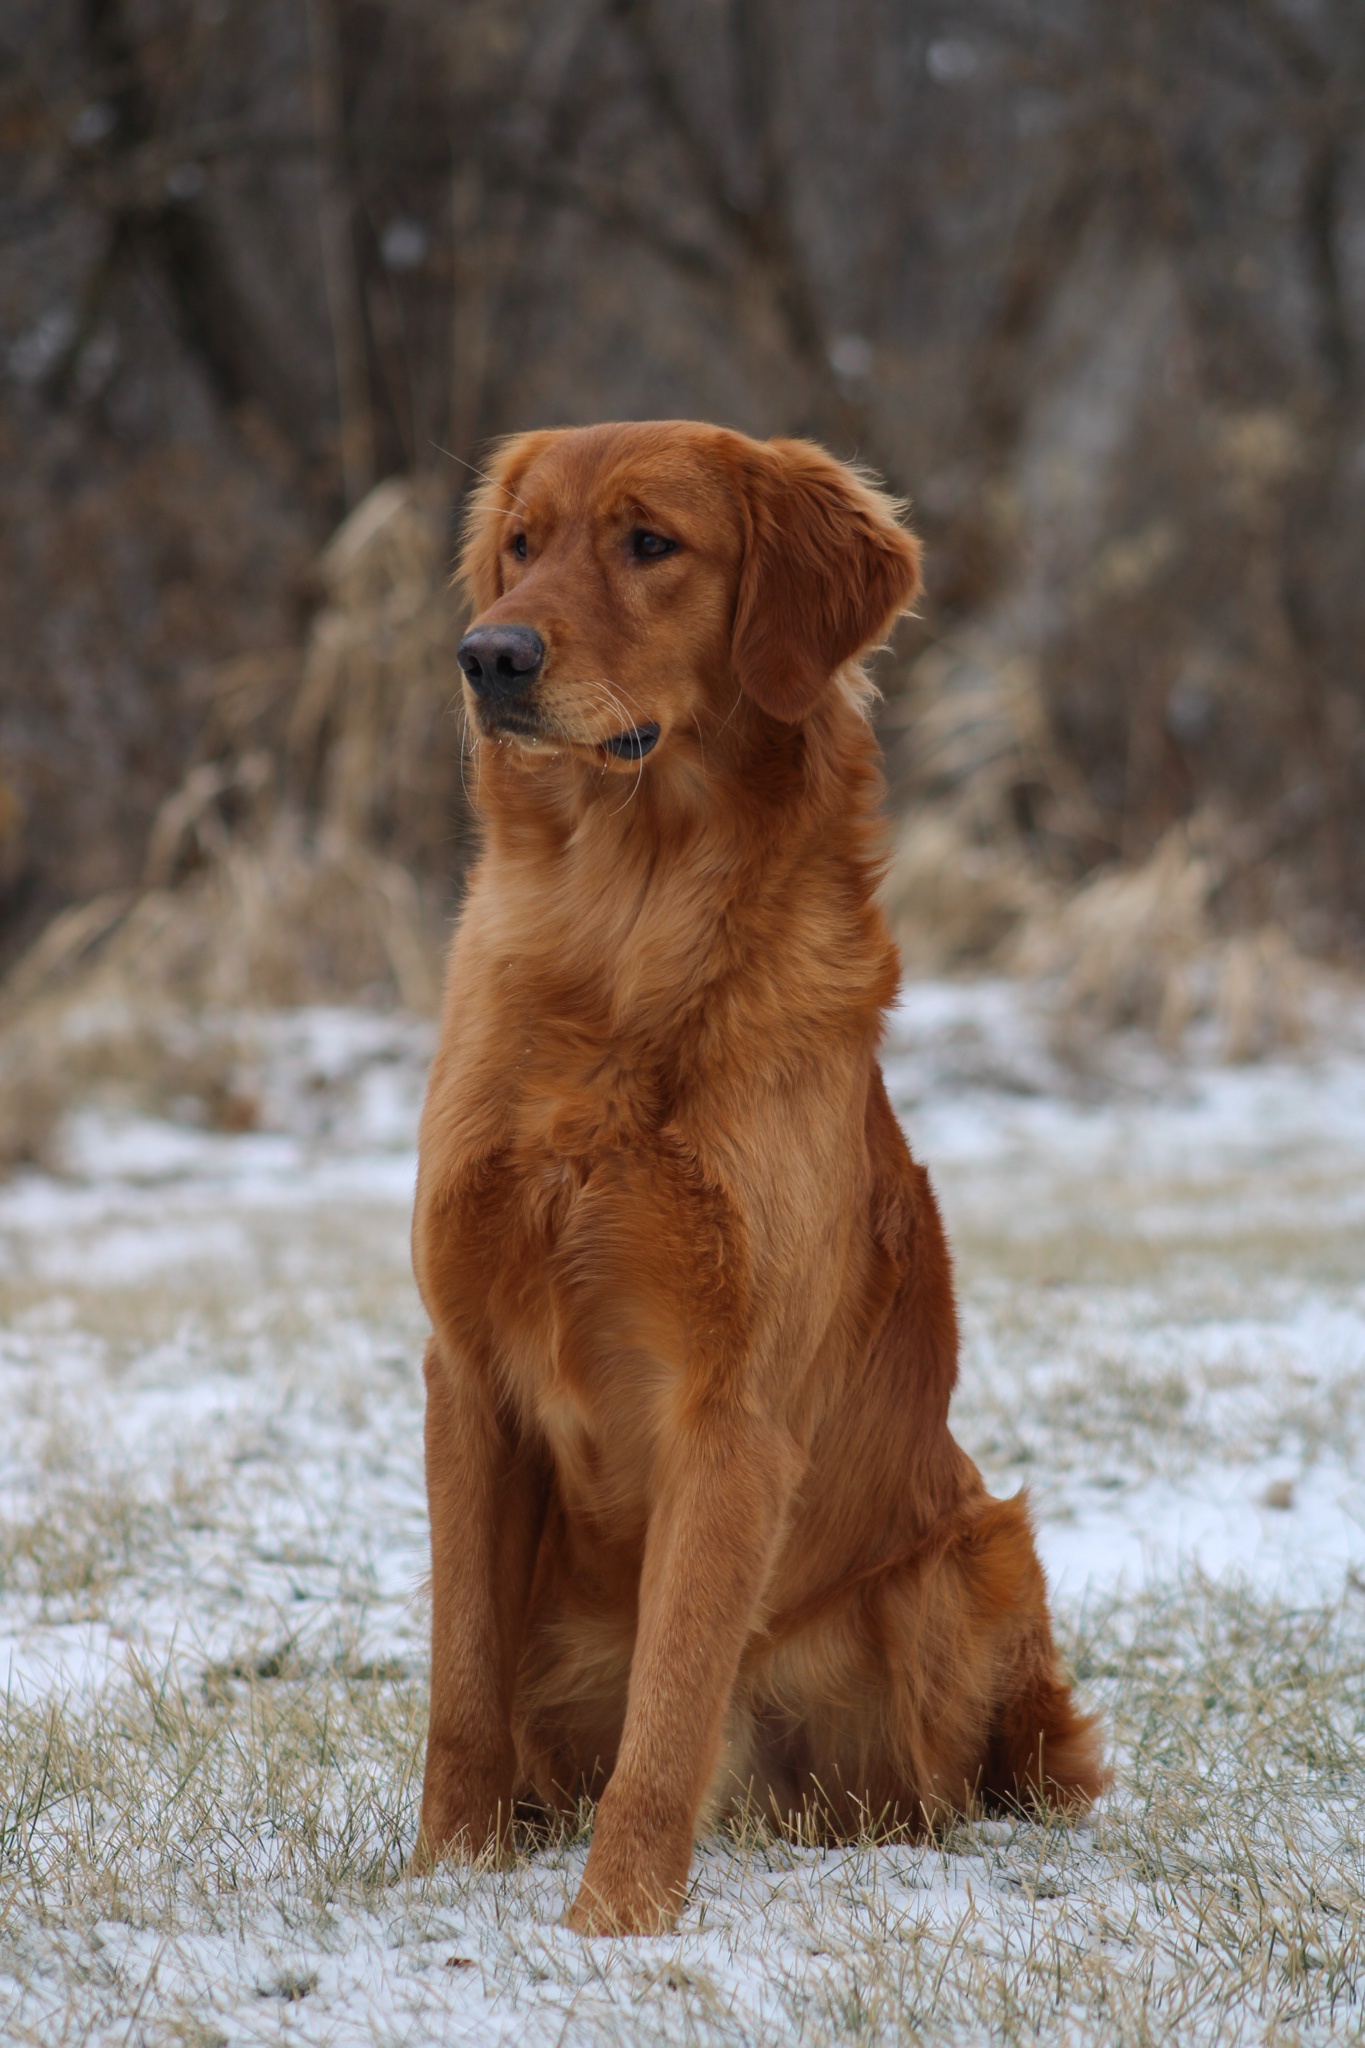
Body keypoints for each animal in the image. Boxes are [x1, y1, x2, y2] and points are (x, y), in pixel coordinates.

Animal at [409, 419, 1113, 1933]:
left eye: (649, 543)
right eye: (520, 545)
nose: (488, 655)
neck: (620, 933)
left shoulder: (731, 1407)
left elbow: (673, 1699)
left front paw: (613, 1921)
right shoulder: (464, 1366)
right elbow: (460, 1676)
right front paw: (441, 1874)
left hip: (974, 1550)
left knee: (962, 1778)